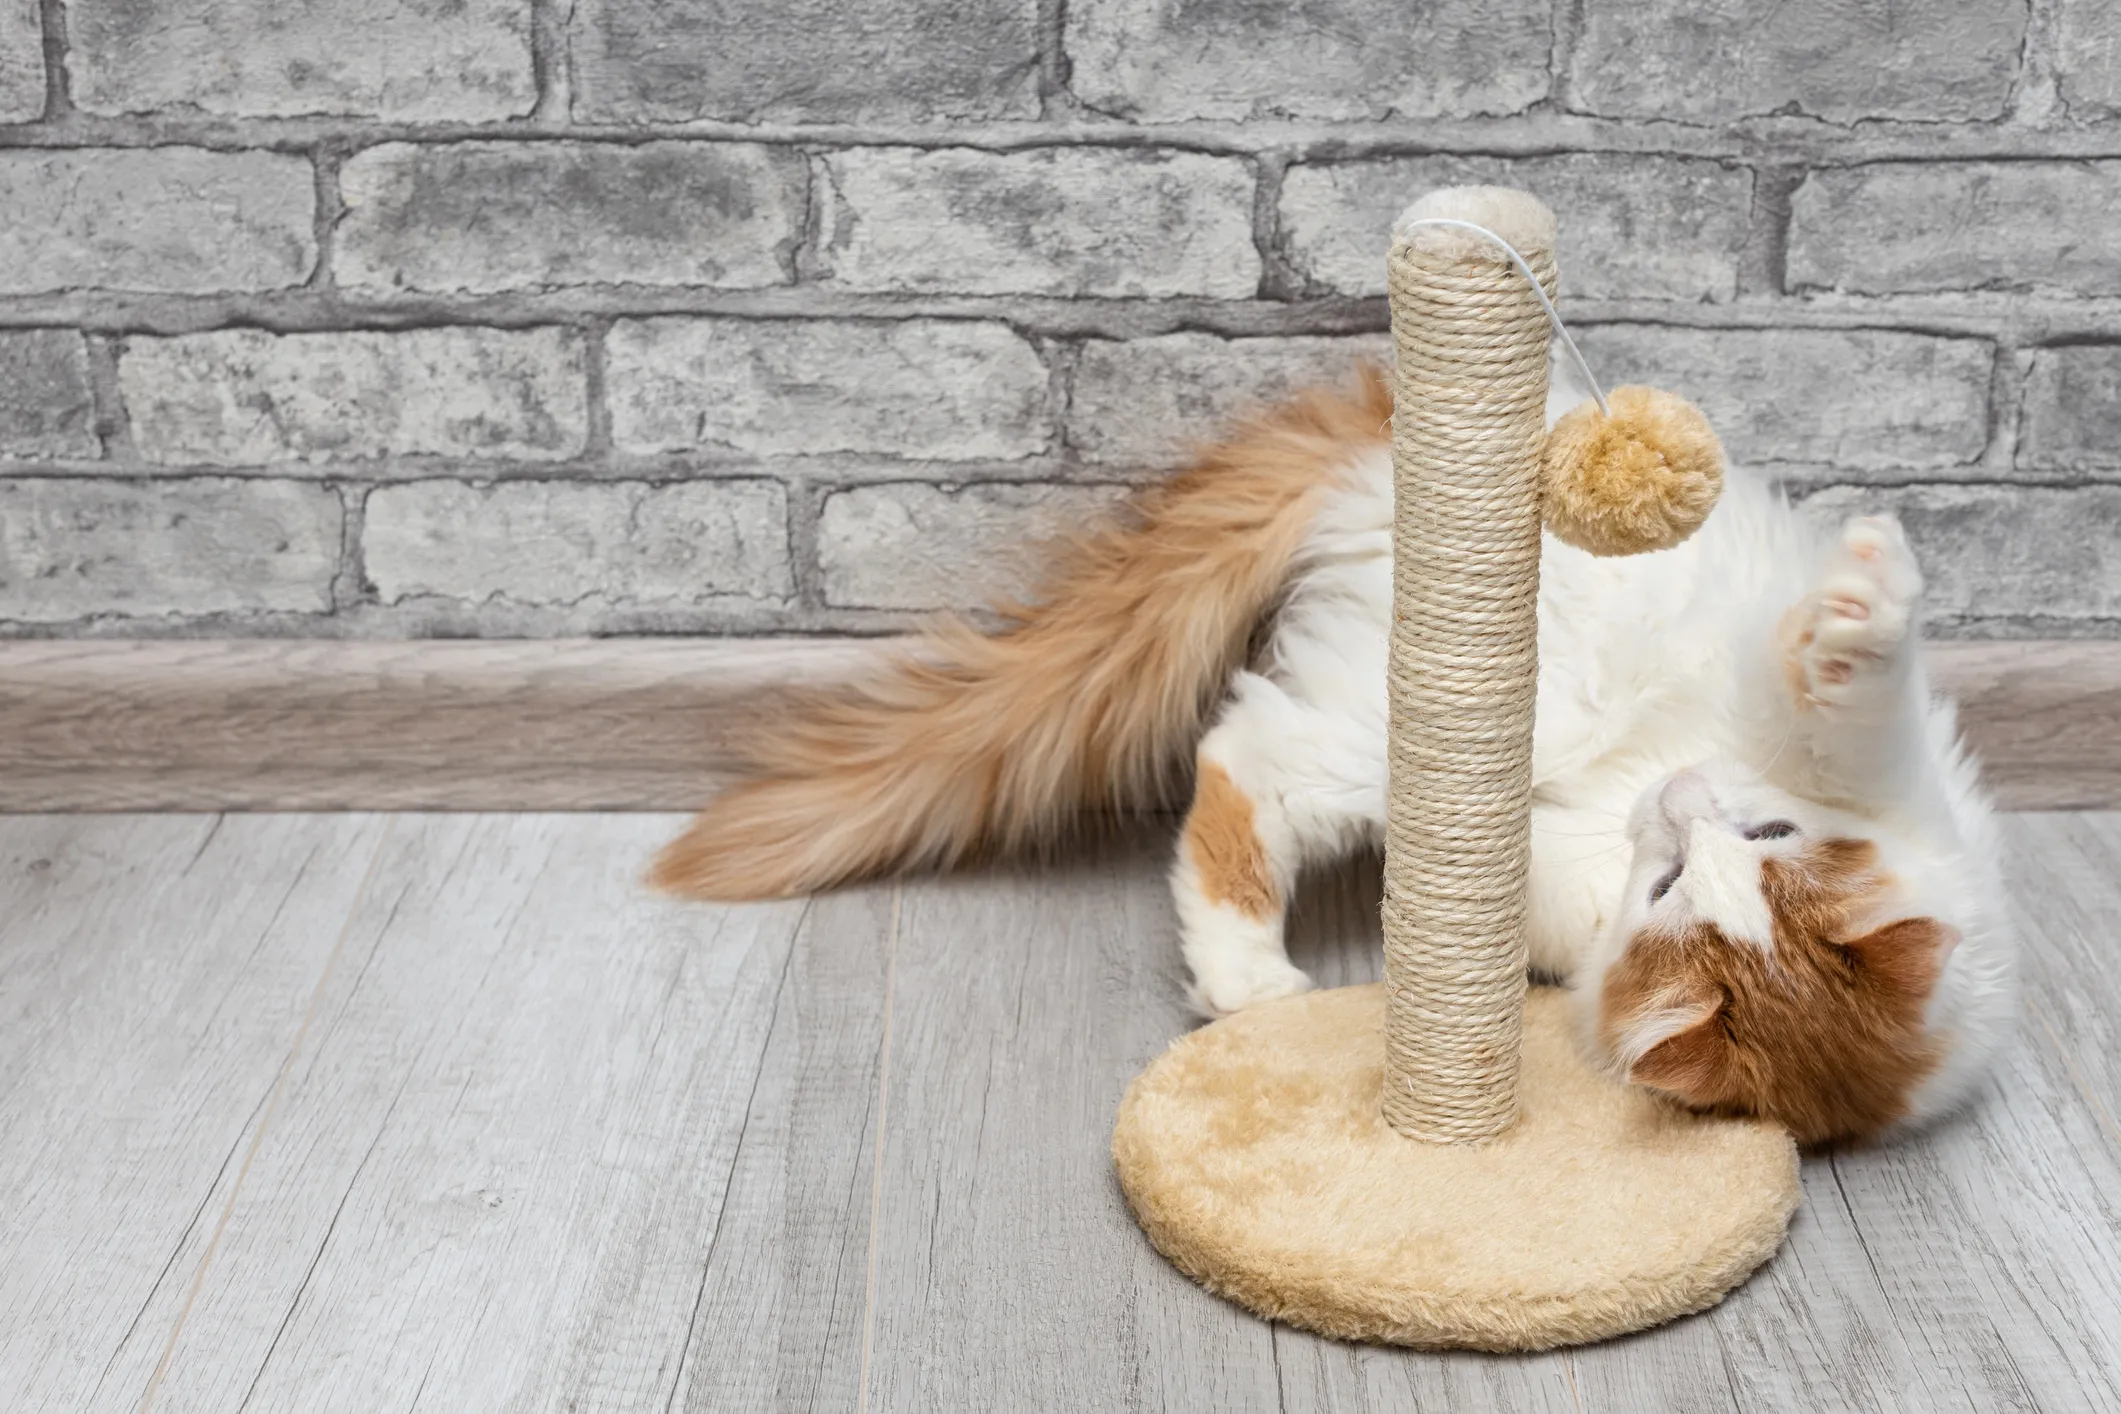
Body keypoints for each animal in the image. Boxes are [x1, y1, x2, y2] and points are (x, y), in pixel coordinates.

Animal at [657, 364, 2019, 1153]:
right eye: (1758, 837)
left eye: (1675, 884)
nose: (1675, 805)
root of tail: (1379, 432)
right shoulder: (1860, 762)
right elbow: (1846, 697)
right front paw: (1866, 598)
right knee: (1237, 754)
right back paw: (1249, 975)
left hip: (1388, 732)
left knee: (1243, 754)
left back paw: (1242, 977)